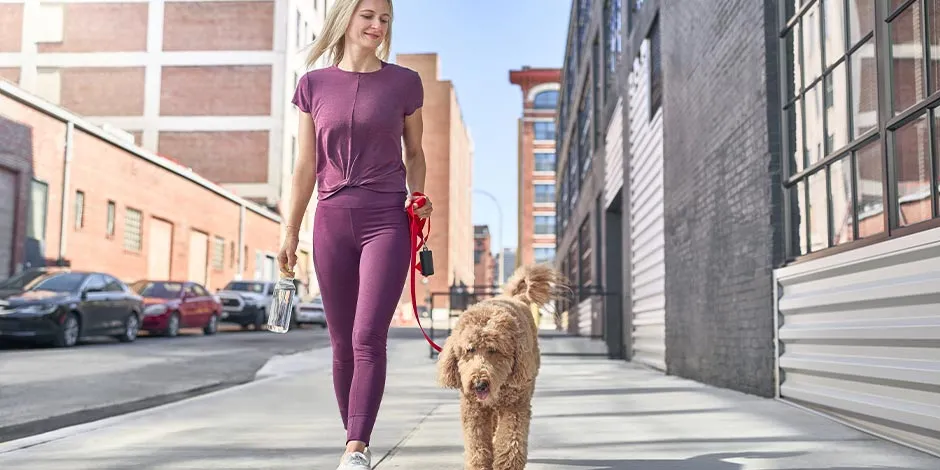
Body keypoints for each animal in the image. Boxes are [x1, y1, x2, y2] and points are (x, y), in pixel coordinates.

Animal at [436, 264, 560, 470]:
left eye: (493, 350)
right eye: (469, 350)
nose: (479, 384)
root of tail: (515, 298)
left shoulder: (515, 406)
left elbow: (511, 438)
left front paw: (506, 464)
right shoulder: (473, 409)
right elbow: (476, 442)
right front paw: (479, 464)